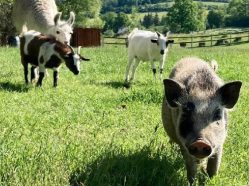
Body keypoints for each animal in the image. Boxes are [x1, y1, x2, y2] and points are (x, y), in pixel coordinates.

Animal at [161, 57, 241, 185]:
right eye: (186, 111)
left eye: (217, 114)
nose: (200, 142)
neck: (201, 90)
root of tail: (191, 57)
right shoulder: (184, 144)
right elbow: (191, 168)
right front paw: (191, 182)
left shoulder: (220, 143)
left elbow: (213, 167)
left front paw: (210, 180)